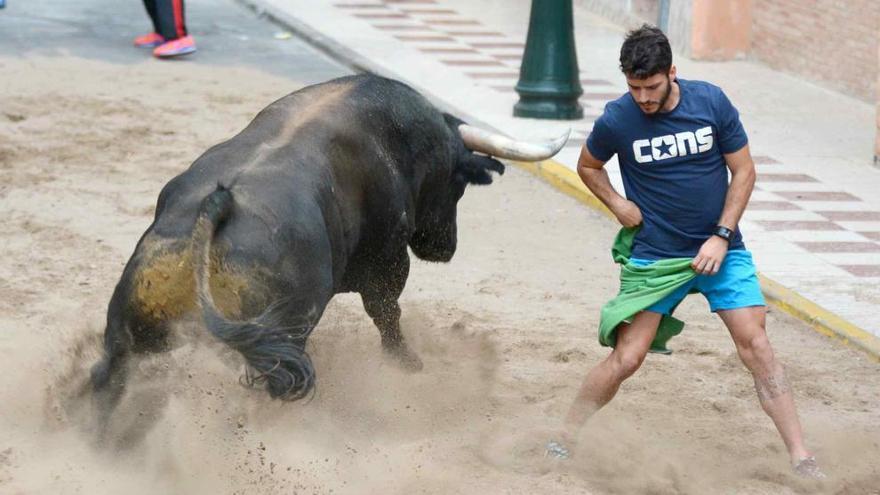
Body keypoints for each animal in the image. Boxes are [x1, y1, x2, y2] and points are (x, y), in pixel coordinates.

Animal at [93, 73, 560, 420]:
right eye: (459, 183)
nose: (446, 247)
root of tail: (210, 222)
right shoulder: (388, 264)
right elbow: (387, 315)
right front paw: (408, 365)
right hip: (270, 342)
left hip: (127, 337)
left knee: (107, 382)